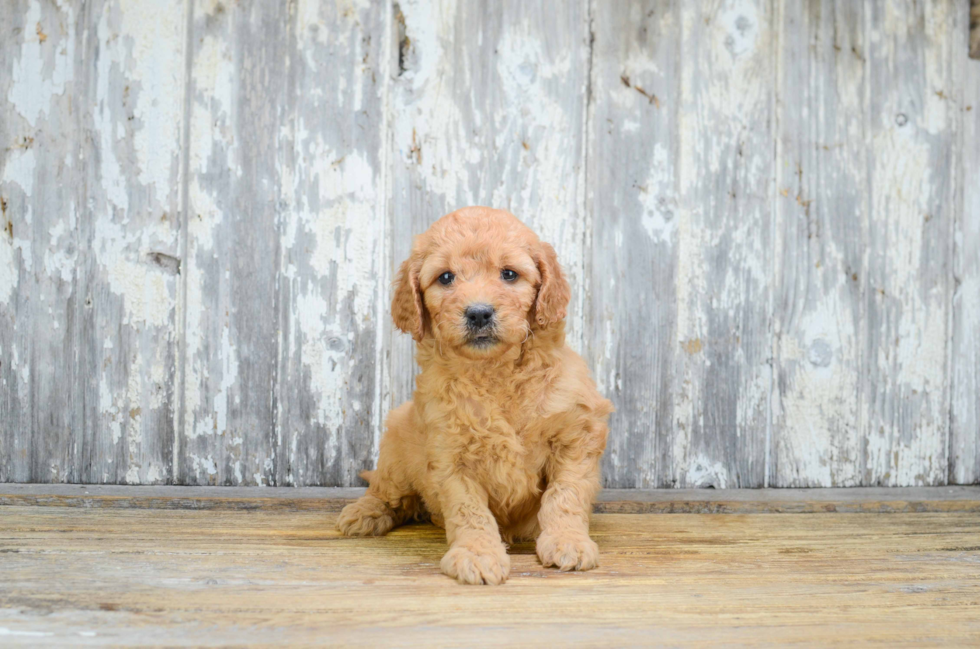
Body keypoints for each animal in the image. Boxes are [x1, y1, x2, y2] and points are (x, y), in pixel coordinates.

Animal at [336, 206, 612, 584]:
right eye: (445, 278)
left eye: (509, 274)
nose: (479, 312)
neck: (494, 372)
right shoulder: (450, 454)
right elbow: (469, 510)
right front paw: (478, 554)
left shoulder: (576, 434)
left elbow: (565, 494)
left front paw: (567, 541)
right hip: (397, 442)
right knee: (387, 491)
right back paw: (364, 513)